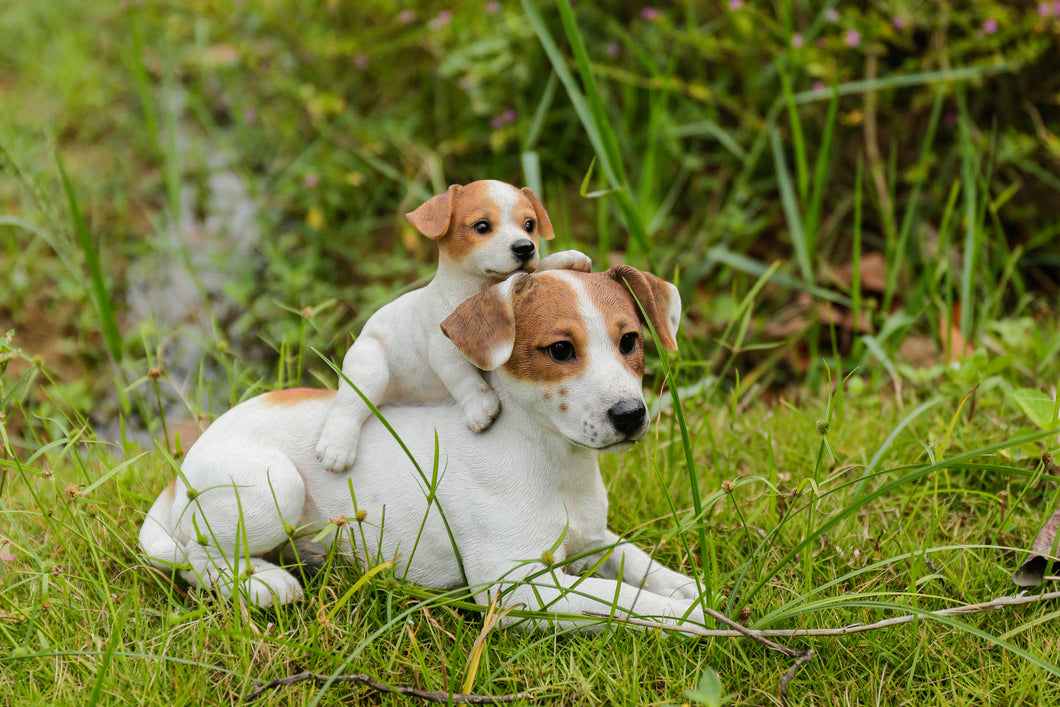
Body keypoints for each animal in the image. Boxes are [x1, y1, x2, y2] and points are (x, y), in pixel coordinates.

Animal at [313, 180, 597, 472]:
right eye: (482, 227)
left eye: (530, 225)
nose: (525, 247)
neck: (477, 290)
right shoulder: (444, 350)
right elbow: (463, 378)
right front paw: (480, 407)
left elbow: (533, 272)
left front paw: (566, 258)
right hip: (369, 368)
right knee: (348, 406)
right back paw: (336, 447)